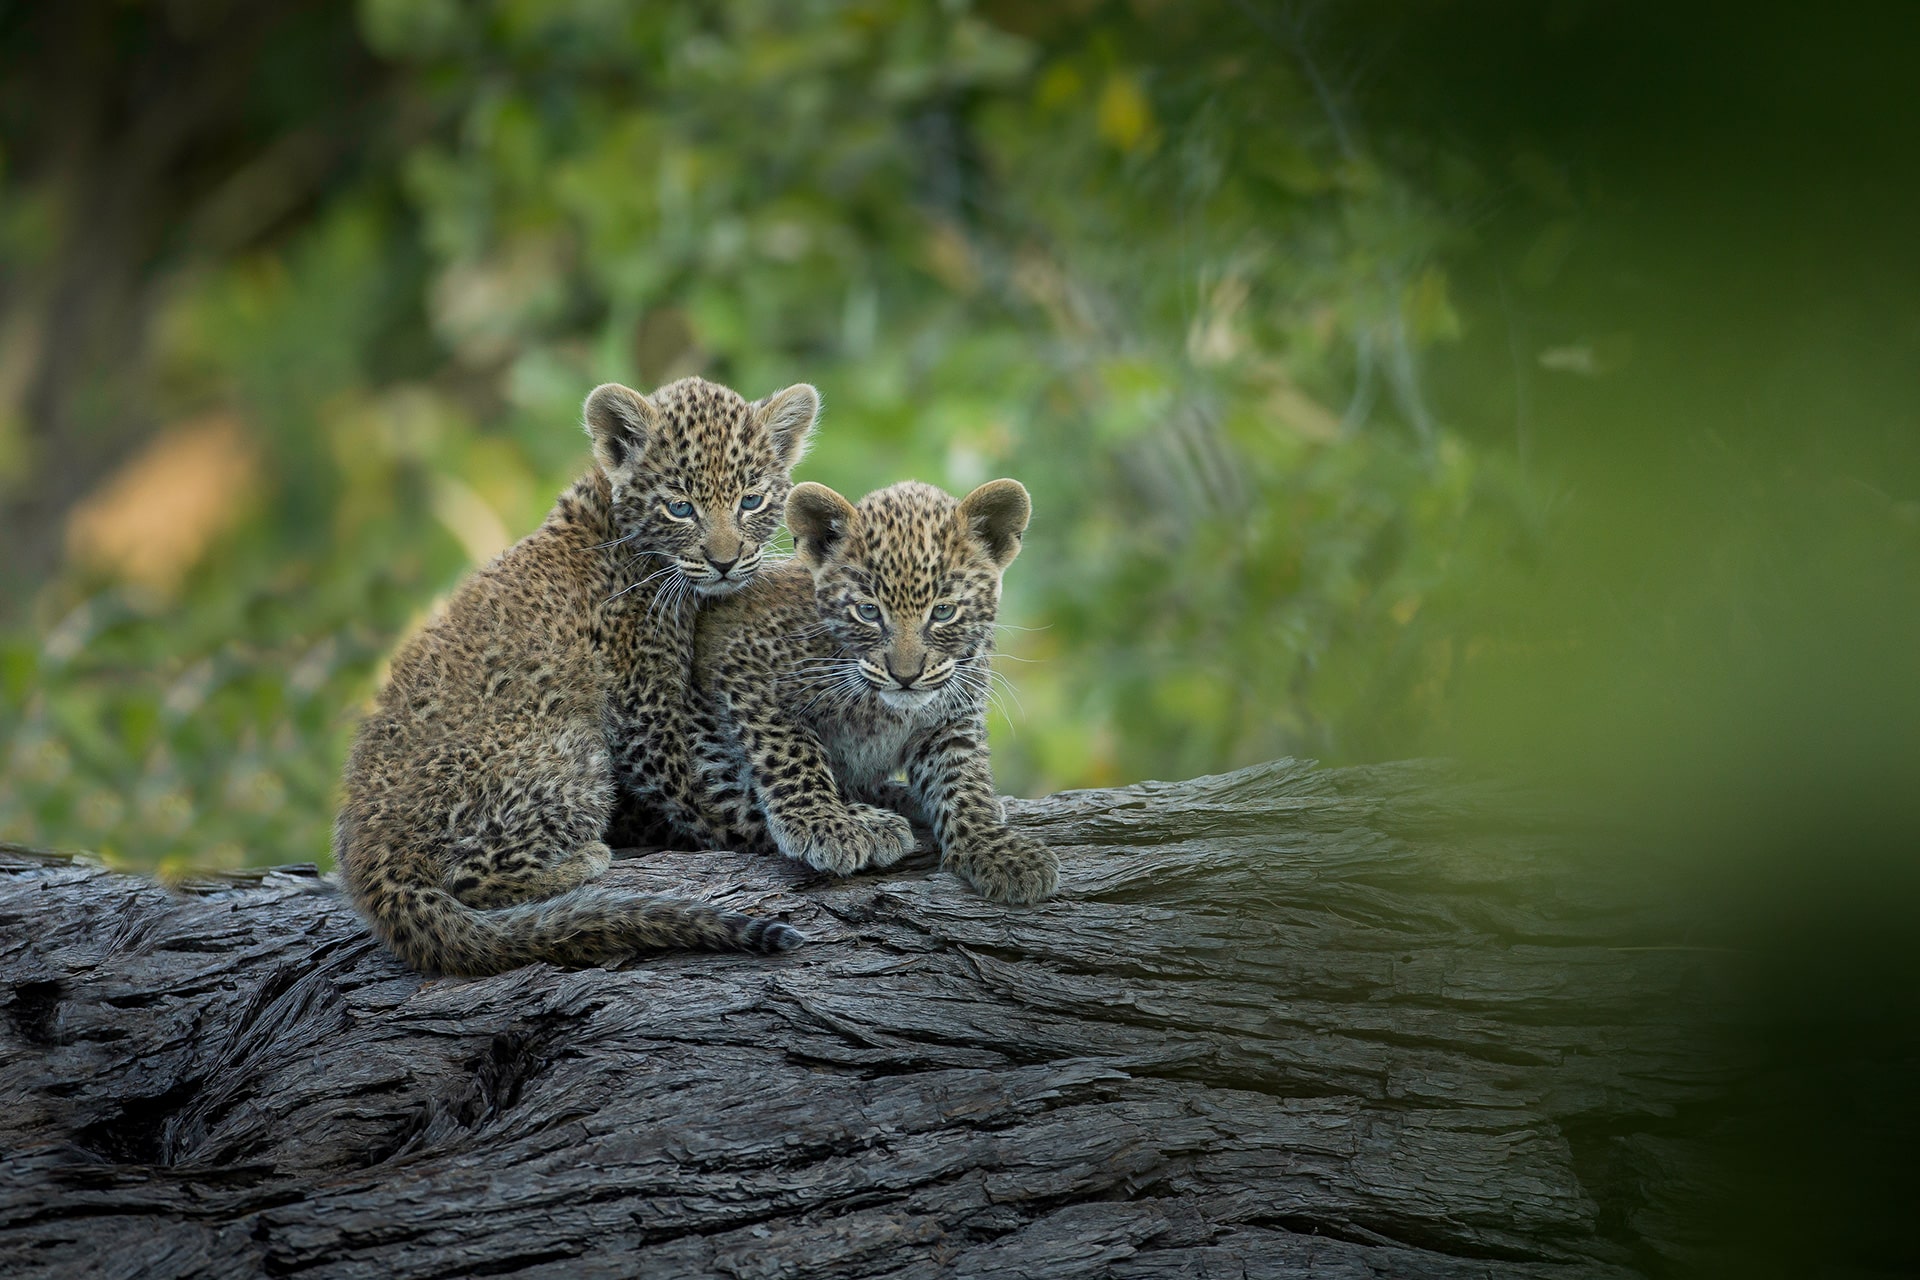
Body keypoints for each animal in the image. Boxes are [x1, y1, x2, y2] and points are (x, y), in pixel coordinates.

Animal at [333, 376, 819, 975]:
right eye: (680, 507)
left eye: (751, 500)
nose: (726, 562)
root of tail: (371, 859)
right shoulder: (651, 717)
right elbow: (713, 796)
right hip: (571, 750)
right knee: (467, 876)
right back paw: (584, 859)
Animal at [681, 478, 1059, 905]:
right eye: (868, 612)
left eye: (943, 612)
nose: (906, 676)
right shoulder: (747, 670)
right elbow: (792, 754)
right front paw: (825, 823)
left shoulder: (951, 716)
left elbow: (963, 778)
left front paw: (996, 848)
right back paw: (869, 823)